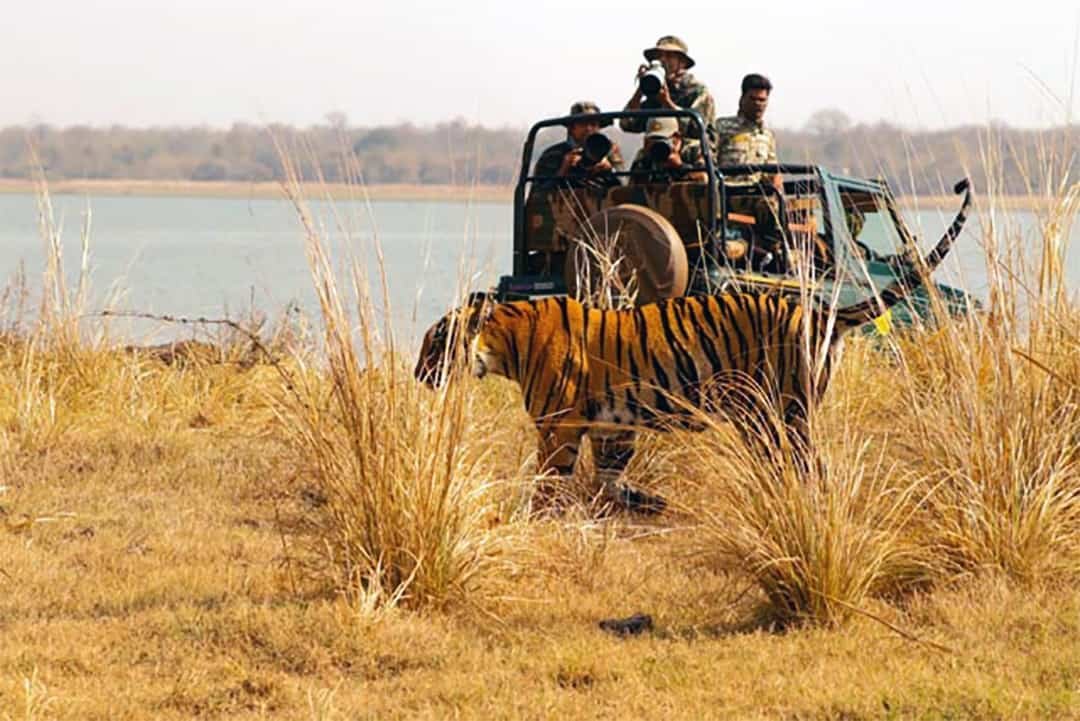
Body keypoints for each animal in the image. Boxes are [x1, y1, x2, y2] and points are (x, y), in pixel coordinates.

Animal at [416, 181, 971, 513]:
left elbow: (550, 479)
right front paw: (635, 500)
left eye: (433, 345)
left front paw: (538, 515)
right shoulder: (610, 421)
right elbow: (612, 467)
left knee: (809, 465)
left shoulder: (560, 425)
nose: (417, 375)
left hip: (781, 410)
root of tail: (817, 312)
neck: (505, 338)